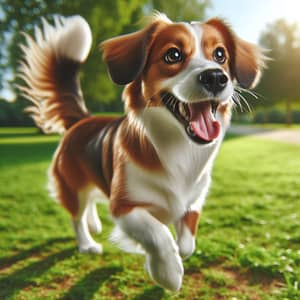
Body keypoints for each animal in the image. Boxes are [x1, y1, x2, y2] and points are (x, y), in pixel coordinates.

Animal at [18, 12, 264, 290]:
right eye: (173, 55)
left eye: (220, 54)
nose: (215, 77)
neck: (179, 148)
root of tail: (81, 120)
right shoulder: (123, 206)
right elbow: (158, 234)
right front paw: (167, 273)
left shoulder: (193, 200)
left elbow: (186, 243)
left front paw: (153, 259)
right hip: (73, 186)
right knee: (76, 216)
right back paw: (87, 243)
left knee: (90, 203)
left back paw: (94, 224)